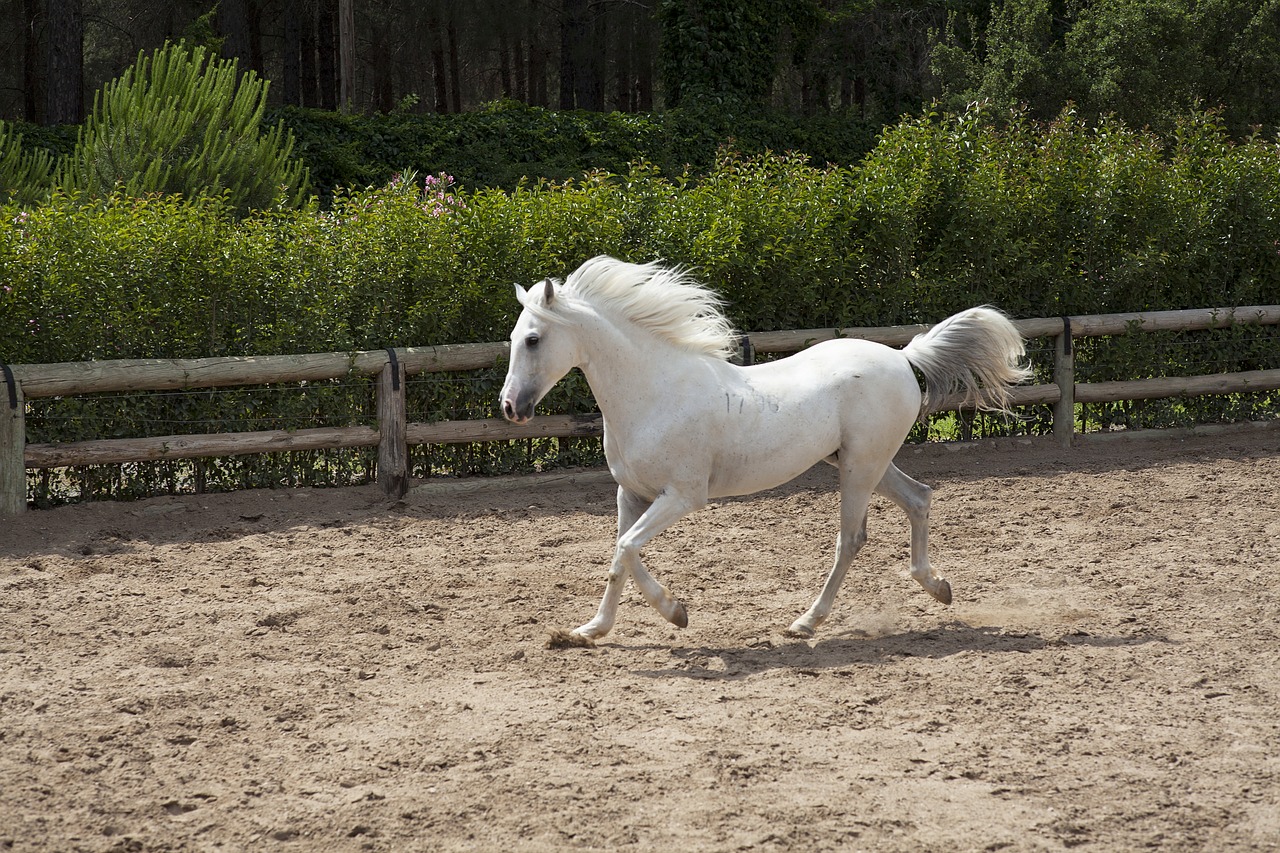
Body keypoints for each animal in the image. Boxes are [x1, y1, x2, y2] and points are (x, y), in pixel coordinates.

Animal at [499, 256, 1029, 640]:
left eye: (533, 339)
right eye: (513, 338)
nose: (510, 407)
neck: (654, 392)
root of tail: (902, 357)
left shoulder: (683, 497)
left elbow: (627, 547)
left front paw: (676, 612)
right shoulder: (630, 494)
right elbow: (619, 556)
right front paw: (590, 630)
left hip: (861, 467)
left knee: (852, 538)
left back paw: (806, 622)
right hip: (864, 462)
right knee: (919, 498)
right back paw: (938, 587)